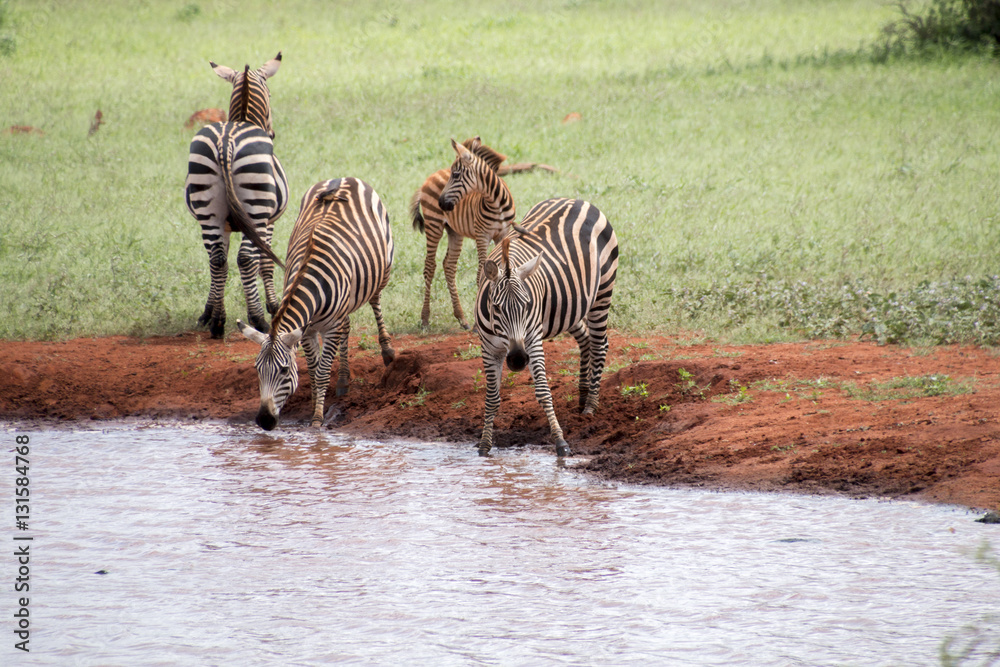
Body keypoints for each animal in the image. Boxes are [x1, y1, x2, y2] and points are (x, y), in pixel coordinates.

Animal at [184, 52, 288, 339]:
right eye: (271, 95)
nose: (272, 133)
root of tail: (226, 141)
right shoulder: (269, 221)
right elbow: (265, 260)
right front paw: (273, 307)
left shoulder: (227, 225)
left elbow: (218, 262)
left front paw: (209, 312)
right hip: (256, 208)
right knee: (245, 258)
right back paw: (258, 319)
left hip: (208, 210)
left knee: (218, 258)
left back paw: (218, 323)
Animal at [237, 178, 396, 431]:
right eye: (257, 369)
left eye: (284, 370)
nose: (264, 421)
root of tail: (344, 178)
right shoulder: (308, 330)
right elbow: (312, 371)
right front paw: (313, 406)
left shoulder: (329, 328)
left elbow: (321, 373)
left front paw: (318, 419)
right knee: (347, 326)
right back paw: (343, 380)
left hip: (383, 268)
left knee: (375, 300)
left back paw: (387, 350)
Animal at [410, 137, 511, 330]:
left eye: (456, 175)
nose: (441, 203)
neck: (496, 203)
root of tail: (430, 176)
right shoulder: (482, 236)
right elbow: (481, 273)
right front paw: (480, 321)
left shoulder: (503, 233)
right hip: (434, 225)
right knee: (430, 267)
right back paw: (425, 318)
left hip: (454, 232)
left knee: (449, 265)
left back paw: (461, 317)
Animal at [471, 193, 618, 458]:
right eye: (496, 308)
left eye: (527, 305)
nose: (518, 360)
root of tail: (576, 199)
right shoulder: (488, 348)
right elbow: (492, 398)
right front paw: (484, 446)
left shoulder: (531, 339)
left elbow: (542, 391)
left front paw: (560, 442)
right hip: (568, 307)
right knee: (585, 339)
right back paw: (582, 396)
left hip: (603, 291)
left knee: (600, 344)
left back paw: (591, 405)